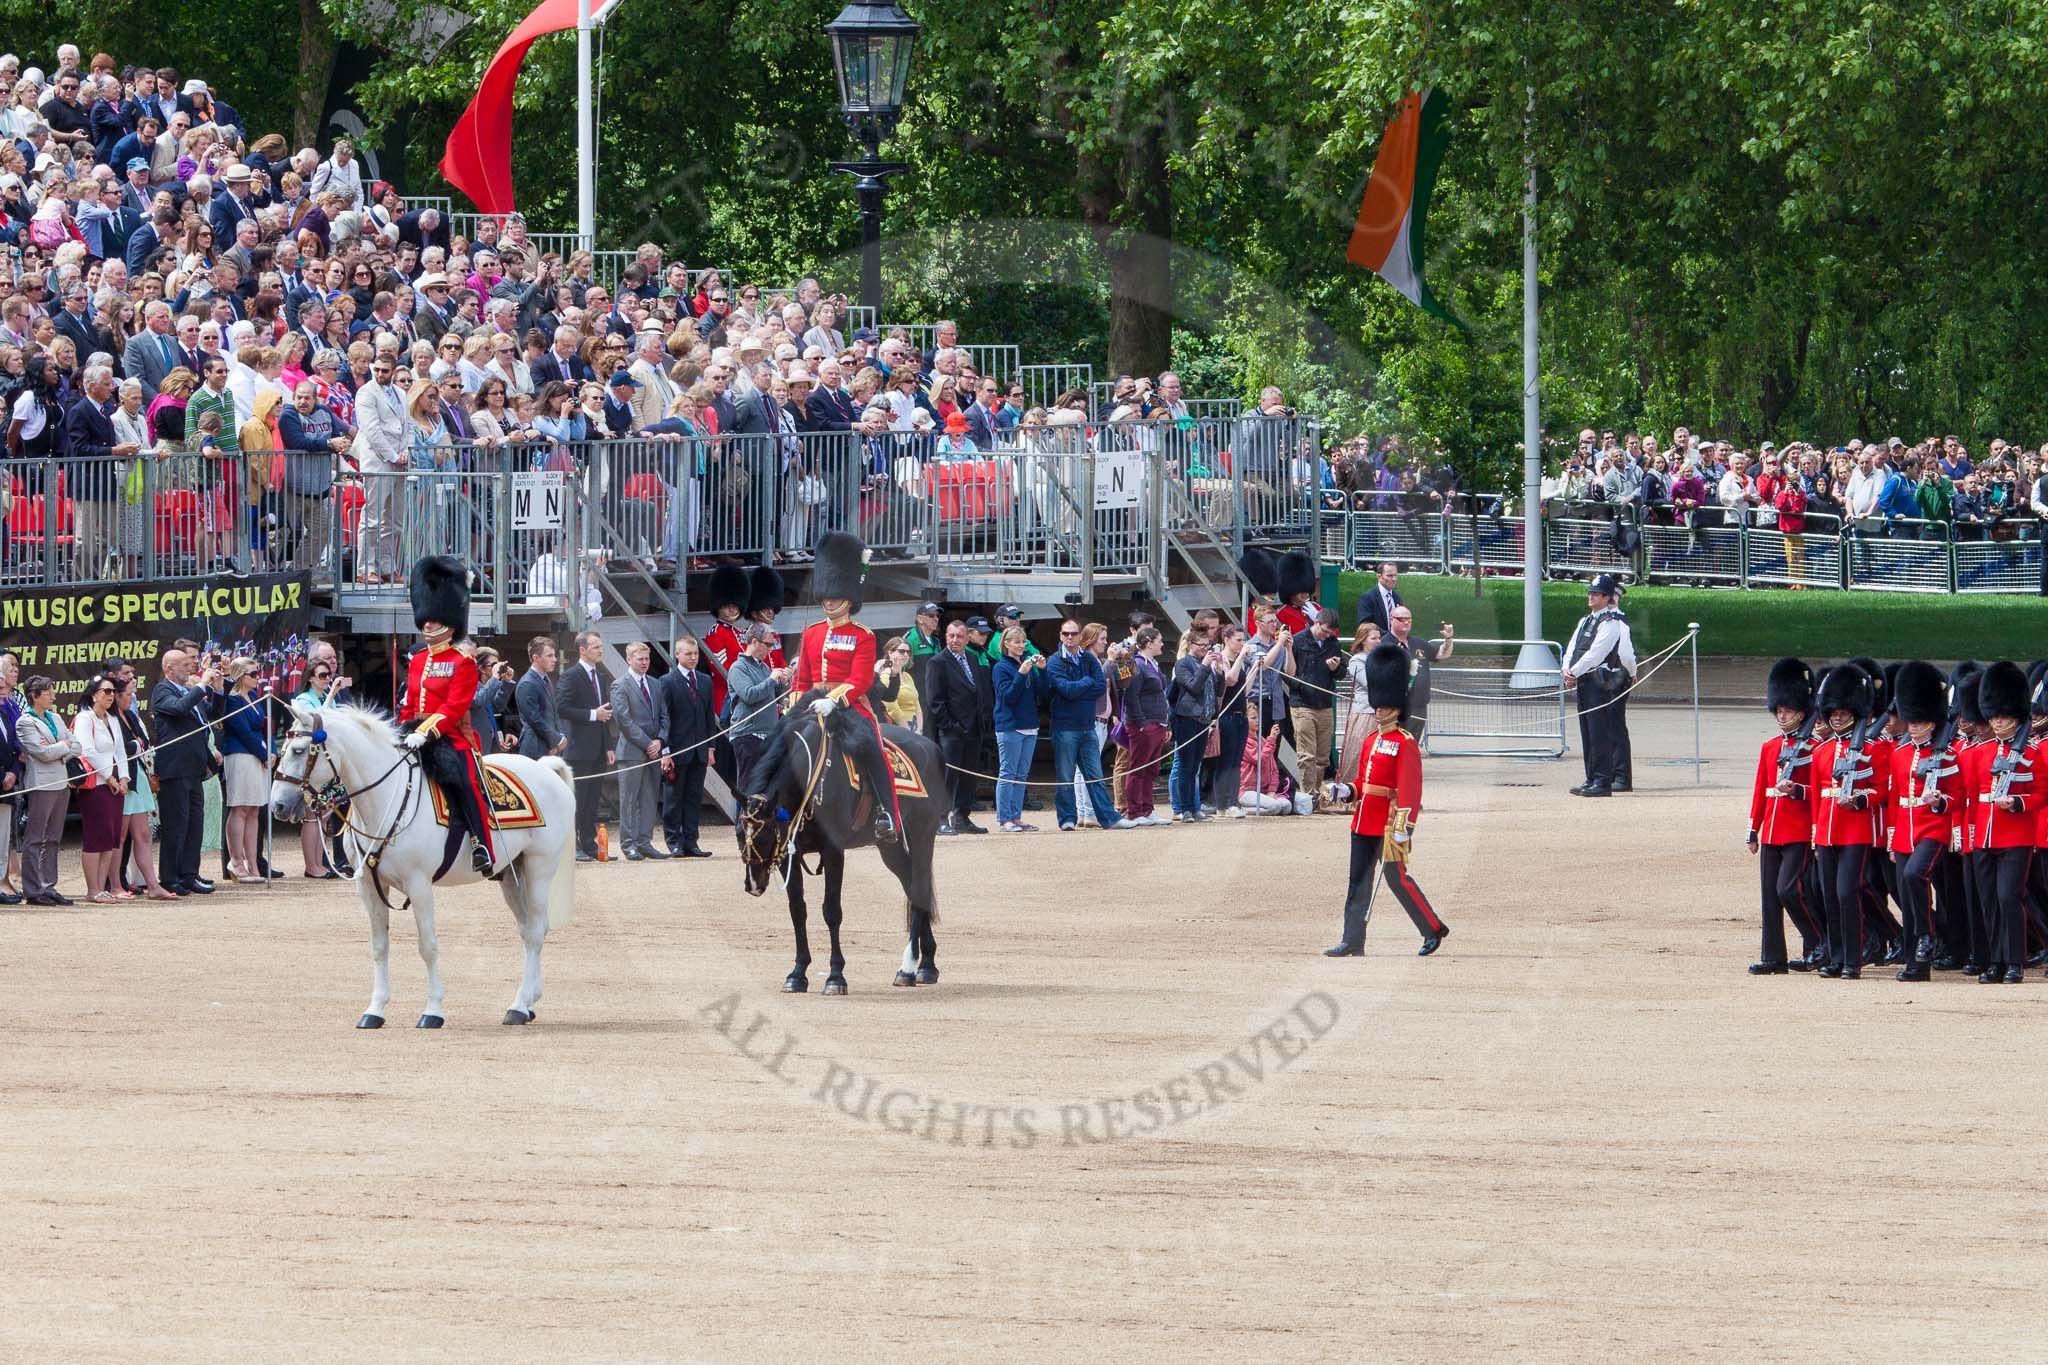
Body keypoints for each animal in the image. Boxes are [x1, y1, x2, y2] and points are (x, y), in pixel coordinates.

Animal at [268, 699, 581, 1031]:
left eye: (298, 750)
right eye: (283, 747)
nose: (277, 806)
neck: (385, 799)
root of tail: (545, 769)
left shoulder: (419, 885)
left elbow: (428, 946)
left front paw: (433, 1010)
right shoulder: (368, 886)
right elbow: (379, 947)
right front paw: (375, 1010)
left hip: (539, 868)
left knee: (534, 931)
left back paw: (519, 1006)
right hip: (511, 874)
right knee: (528, 930)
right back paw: (528, 1002)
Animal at [741, 695, 946, 994]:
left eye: (765, 836)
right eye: (738, 834)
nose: (753, 885)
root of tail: (931, 747)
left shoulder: (833, 851)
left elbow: (831, 911)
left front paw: (835, 976)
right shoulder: (789, 855)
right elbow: (797, 910)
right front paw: (797, 973)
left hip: (922, 836)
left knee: (918, 888)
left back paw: (907, 968)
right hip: (891, 848)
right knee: (912, 889)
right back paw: (926, 964)